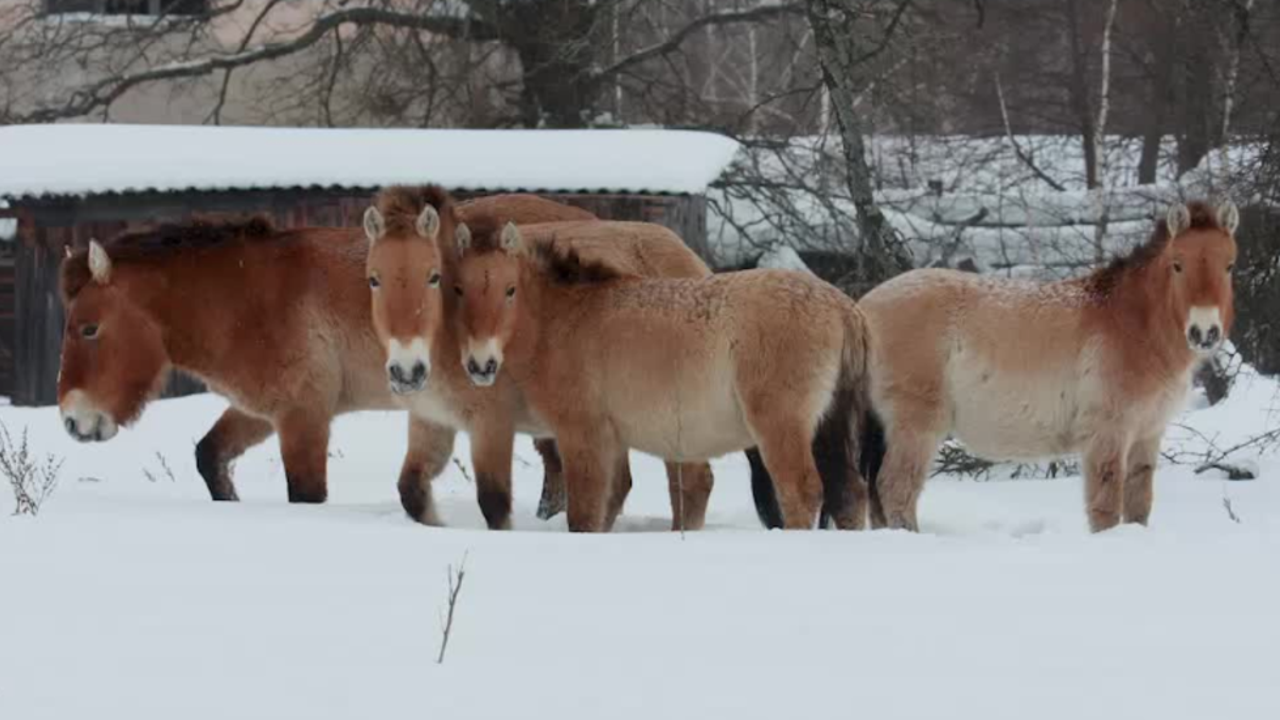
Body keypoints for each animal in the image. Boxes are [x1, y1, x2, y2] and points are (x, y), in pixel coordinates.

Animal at [56, 193, 595, 517]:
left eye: (88, 328)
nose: (72, 421)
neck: (249, 295)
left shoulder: (304, 417)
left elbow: (306, 495)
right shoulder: (262, 412)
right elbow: (210, 458)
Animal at [363, 185, 718, 531]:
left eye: (433, 276)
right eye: (374, 278)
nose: (406, 371)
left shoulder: (492, 422)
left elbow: (494, 502)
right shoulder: (431, 420)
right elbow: (412, 490)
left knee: (690, 481)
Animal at [445, 212, 874, 532]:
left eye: (510, 290)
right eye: (459, 289)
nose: (481, 364)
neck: (568, 317)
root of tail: (842, 307)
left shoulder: (583, 436)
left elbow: (584, 513)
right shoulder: (612, 440)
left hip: (782, 428)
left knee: (801, 491)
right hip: (829, 426)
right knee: (850, 494)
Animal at [857, 200, 1239, 533]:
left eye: (1229, 266)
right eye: (1178, 264)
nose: (1204, 332)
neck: (1131, 323)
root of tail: (863, 308)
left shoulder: (1147, 433)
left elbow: (1138, 505)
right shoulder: (1108, 433)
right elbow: (1105, 508)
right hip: (915, 426)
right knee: (895, 488)